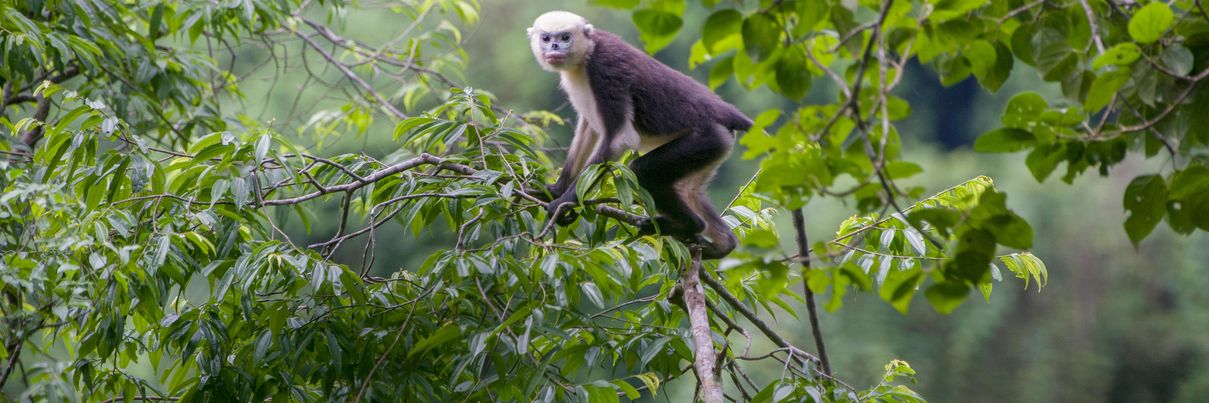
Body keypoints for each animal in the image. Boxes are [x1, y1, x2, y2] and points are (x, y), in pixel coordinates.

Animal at [527, 11, 752, 259]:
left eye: (565, 37)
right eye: (546, 38)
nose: (554, 46)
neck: (587, 54)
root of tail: (725, 112)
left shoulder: (605, 69)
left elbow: (620, 139)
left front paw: (562, 203)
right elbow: (589, 128)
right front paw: (556, 190)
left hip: (707, 140)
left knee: (643, 172)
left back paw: (691, 225)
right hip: (718, 145)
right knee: (689, 191)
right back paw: (724, 243)